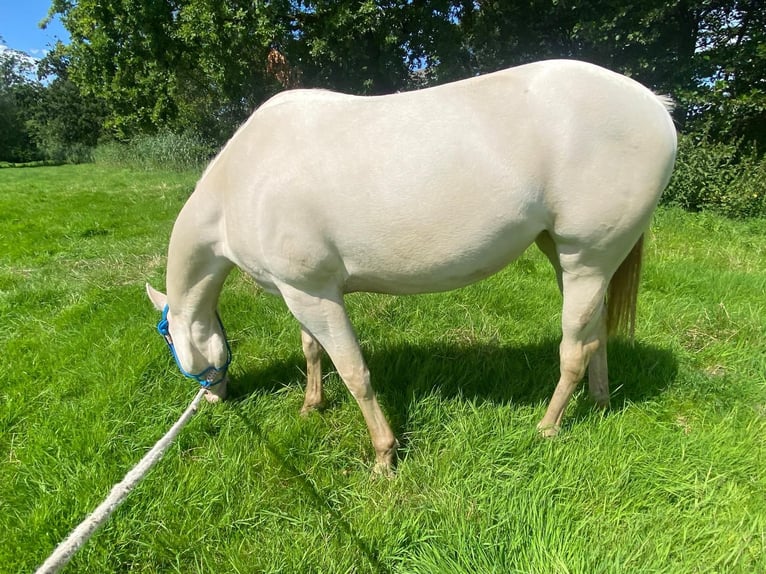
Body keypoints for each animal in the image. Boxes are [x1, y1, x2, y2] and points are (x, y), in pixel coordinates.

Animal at [147, 59, 676, 472]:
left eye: (168, 338)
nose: (213, 398)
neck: (245, 180)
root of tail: (656, 106)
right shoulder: (300, 291)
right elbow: (312, 350)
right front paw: (311, 406)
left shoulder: (314, 294)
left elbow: (354, 371)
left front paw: (384, 455)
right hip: (569, 258)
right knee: (596, 334)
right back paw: (600, 402)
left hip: (586, 260)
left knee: (575, 350)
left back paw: (546, 428)